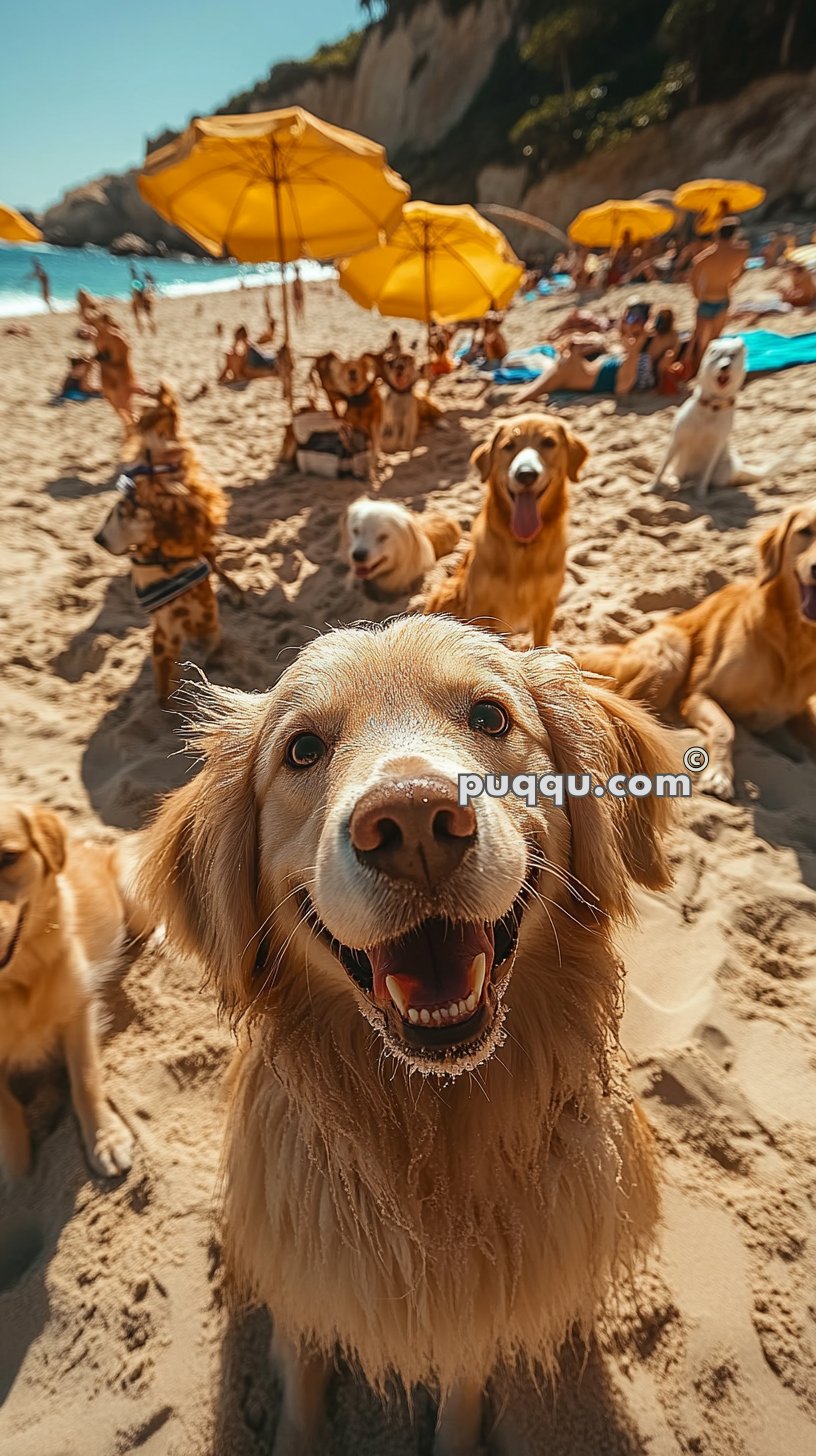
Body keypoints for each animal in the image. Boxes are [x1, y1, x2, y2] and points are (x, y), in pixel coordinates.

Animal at [0, 797, 150, 1182]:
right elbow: (6, 1107)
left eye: (8, 857)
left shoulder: (77, 1010)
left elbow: (85, 1078)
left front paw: (105, 1140)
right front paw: (16, 1167)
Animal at [135, 617, 676, 1456]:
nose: (414, 820)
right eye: (302, 749)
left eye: (489, 716)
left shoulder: (480, 1312)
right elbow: (301, 1381)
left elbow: (461, 1391)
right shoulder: (307, 1282)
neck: (428, 1136)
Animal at [419, 413, 585, 646]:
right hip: (447, 593)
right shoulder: (481, 606)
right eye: (509, 446)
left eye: (548, 442)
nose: (526, 474)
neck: (523, 547)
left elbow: (541, 641)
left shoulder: (546, 603)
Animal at [577, 497, 816, 797]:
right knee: (631, 704)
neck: (791, 640)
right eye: (805, 531)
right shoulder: (699, 692)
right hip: (673, 649)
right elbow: (726, 727)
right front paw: (719, 775)